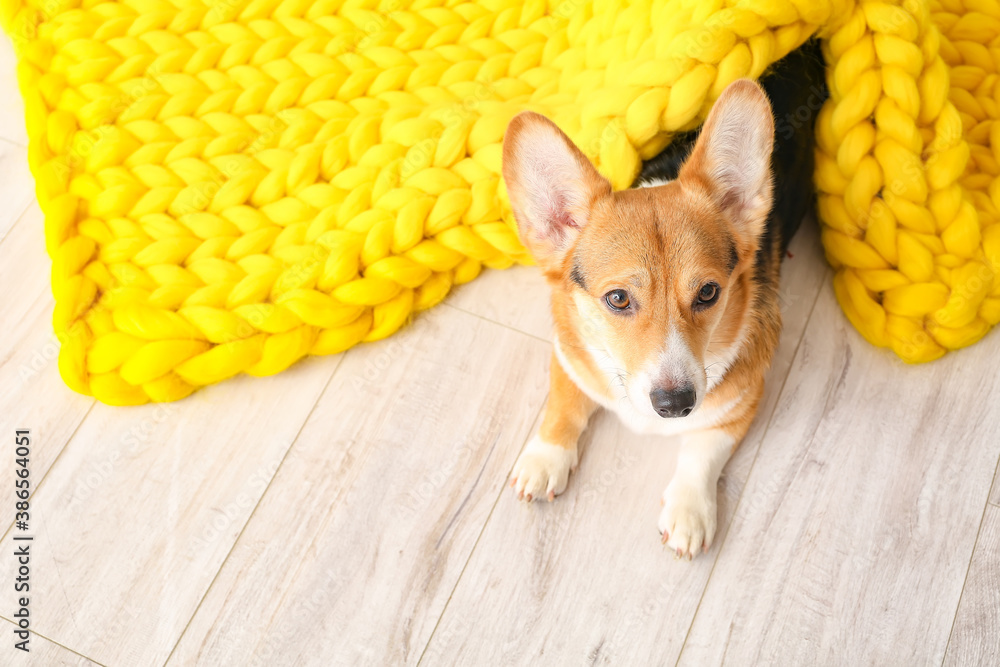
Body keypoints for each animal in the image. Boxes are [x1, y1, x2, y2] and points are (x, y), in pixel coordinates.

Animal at [504, 45, 824, 560]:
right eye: (617, 299)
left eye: (708, 292)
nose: (674, 405)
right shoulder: (569, 355)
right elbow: (563, 405)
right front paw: (543, 460)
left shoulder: (742, 404)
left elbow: (702, 452)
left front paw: (690, 512)